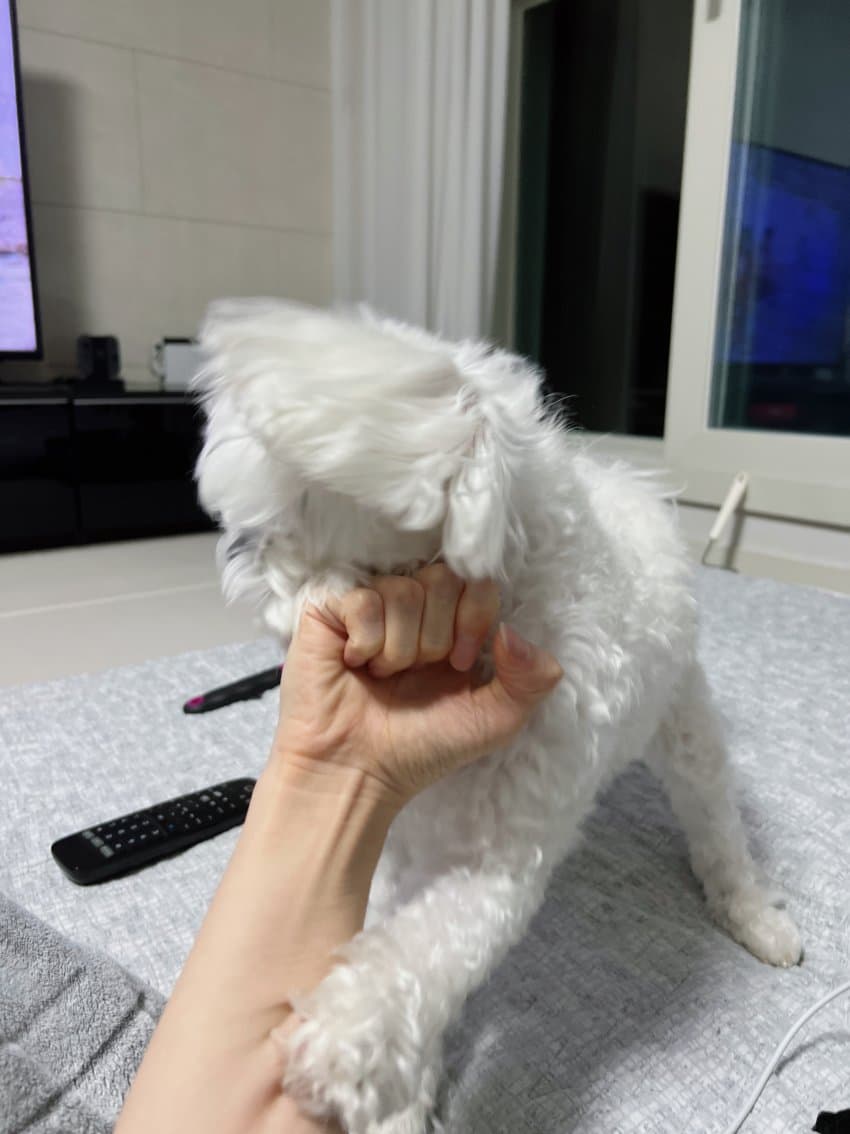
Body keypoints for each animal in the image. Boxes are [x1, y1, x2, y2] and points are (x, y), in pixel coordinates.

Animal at [194, 299, 802, 1134]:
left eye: (300, 501)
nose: (237, 555)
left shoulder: (499, 857)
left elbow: (421, 954)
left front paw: (347, 1047)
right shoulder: (408, 841)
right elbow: (402, 947)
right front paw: (401, 1102)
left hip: (686, 726)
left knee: (717, 828)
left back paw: (756, 917)